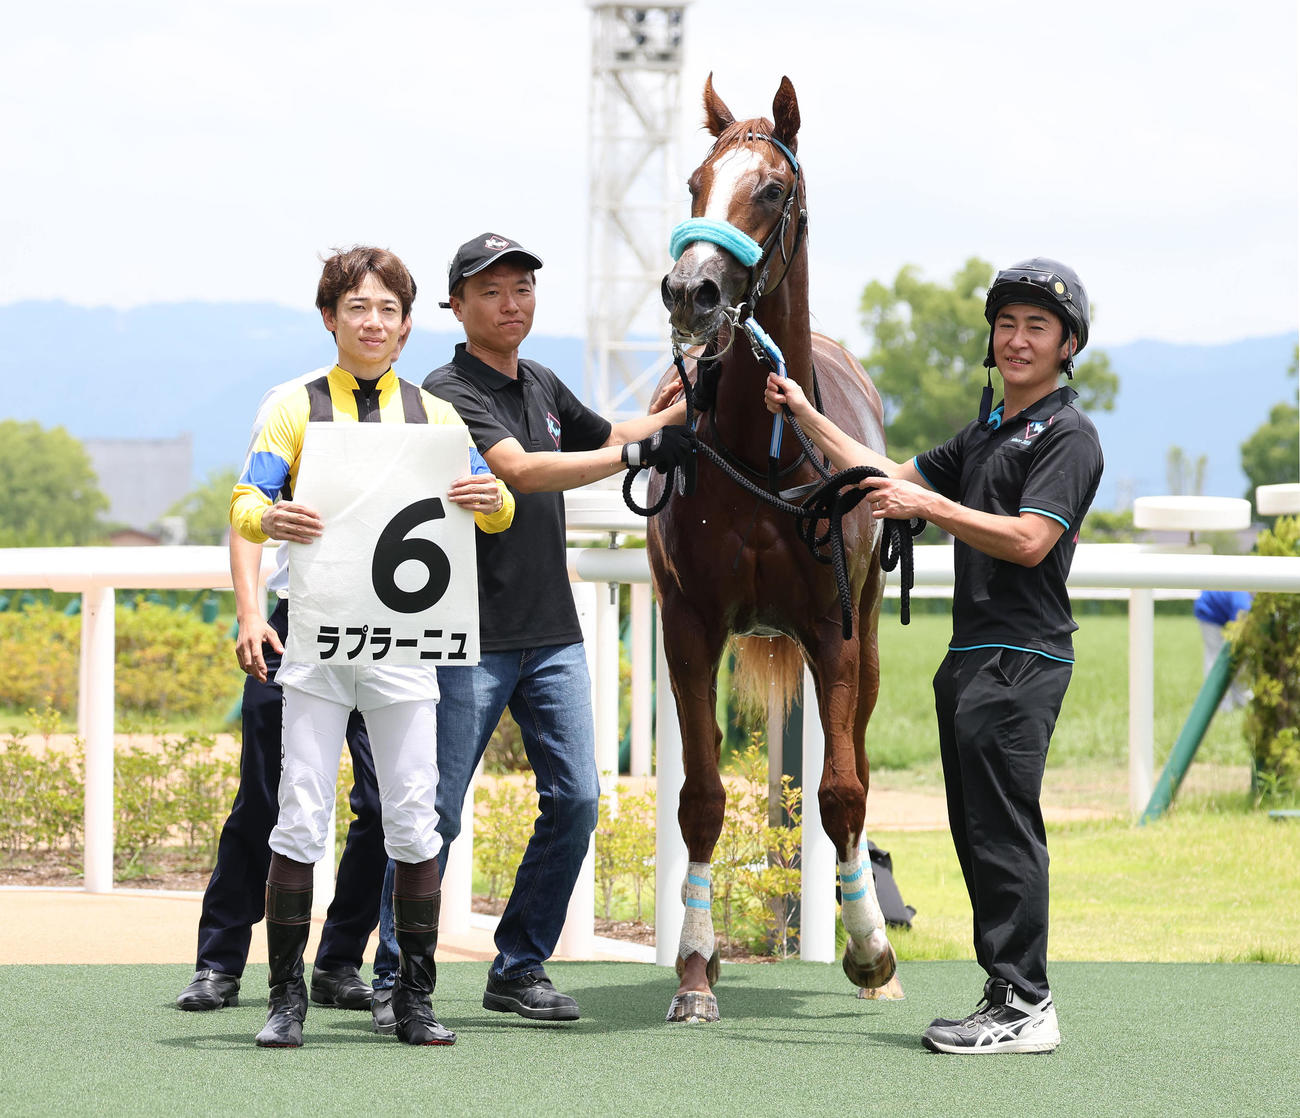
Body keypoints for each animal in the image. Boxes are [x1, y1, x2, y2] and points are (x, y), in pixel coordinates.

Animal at [647, 74, 898, 1023]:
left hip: (869, 636)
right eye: (695, 182)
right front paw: (694, 968)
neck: (765, 453)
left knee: (856, 765)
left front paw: (869, 949)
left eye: (772, 188)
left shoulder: (833, 628)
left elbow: (840, 791)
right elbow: (701, 797)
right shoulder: (688, 624)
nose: (691, 291)